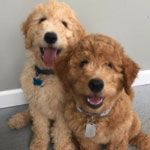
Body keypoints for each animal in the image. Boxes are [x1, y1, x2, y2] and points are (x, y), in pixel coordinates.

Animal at [8, 0, 85, 149]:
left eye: (64, 23)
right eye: (42, 19)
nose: (50, 36)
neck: (48, 73)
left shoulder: (64, 110)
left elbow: (61, 131)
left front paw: (63, 146)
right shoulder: (37, 104)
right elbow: (40, 127)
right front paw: (38, 144)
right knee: (28, 111)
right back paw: (18, 119)